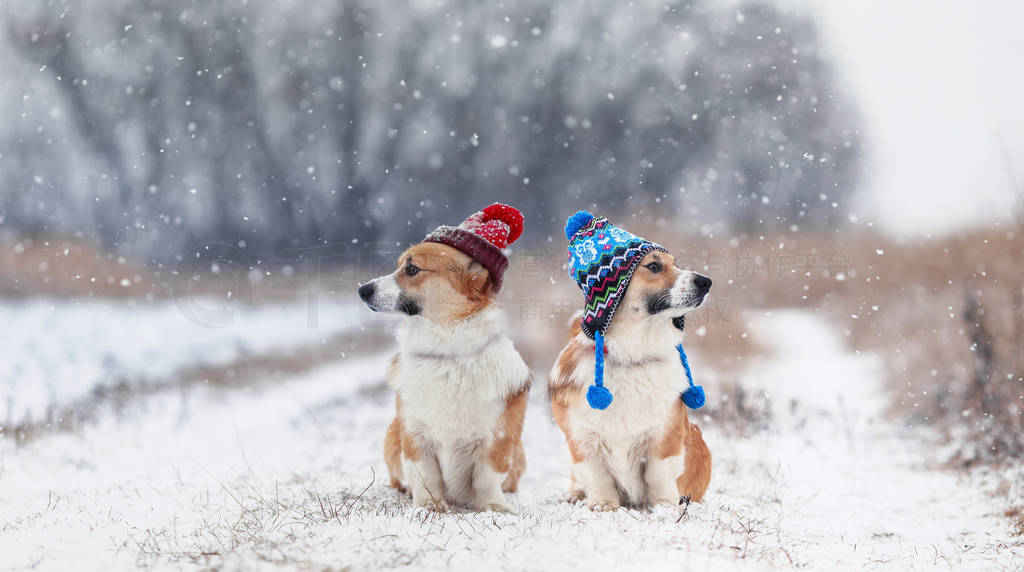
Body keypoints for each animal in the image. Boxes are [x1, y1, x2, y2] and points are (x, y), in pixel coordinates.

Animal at [358, 203, 532, 511]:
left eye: (412, 269)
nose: (362, 290)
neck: (448, 351)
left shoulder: (498, 439)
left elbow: (487, 478)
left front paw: (495, 507)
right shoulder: (415, 434)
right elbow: (424, 474)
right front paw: (429, 506)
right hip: (392, 431)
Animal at [552, 212, 712, 511]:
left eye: (677, 265)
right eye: (654, 266)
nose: (706, 281)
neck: (631, 355)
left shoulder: (664, 437)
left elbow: (658, 475)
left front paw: (664, 506)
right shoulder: (582, 439)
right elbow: (597, 475)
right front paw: (602, 505)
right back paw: (574, 493)